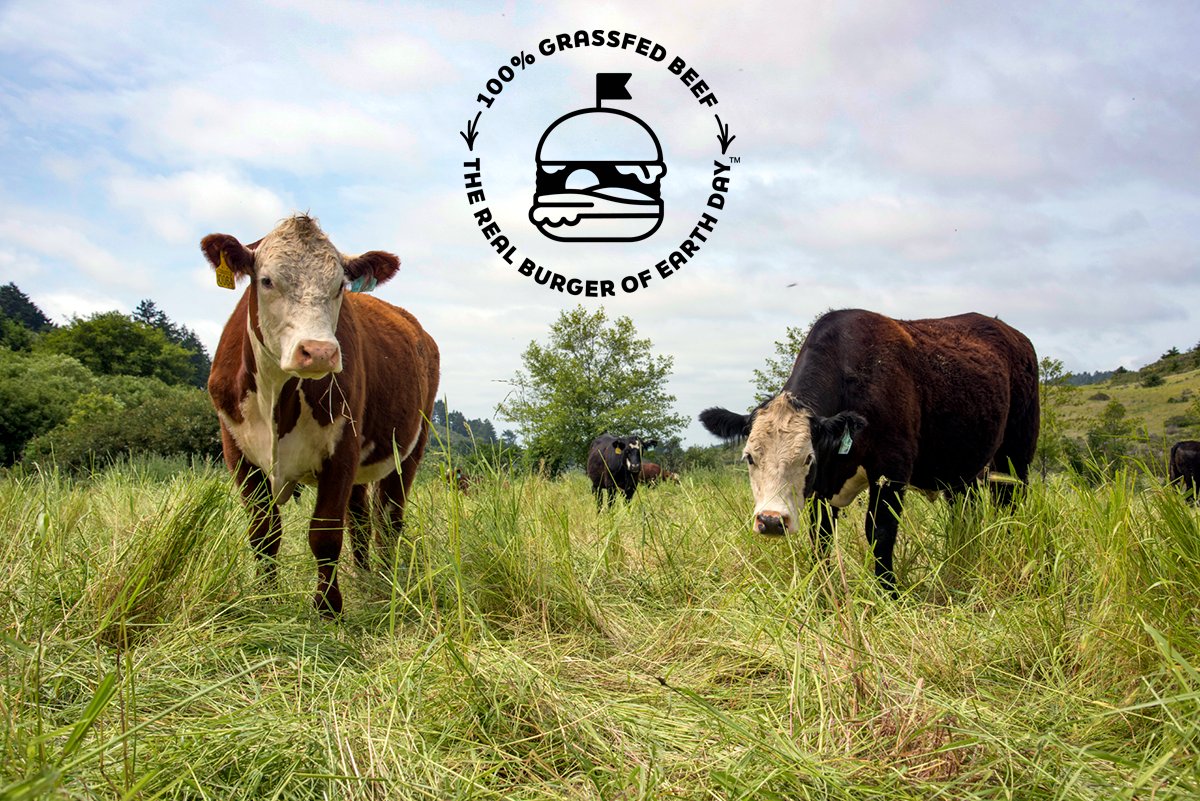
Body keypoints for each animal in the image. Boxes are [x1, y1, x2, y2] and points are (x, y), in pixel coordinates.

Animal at [203, 215, 439, 616]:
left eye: (339, 285)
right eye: (266, 280)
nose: (319, 351)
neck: (278, 399)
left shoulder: (342, 448)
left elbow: (325, 533)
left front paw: (328, 609)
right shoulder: (237, 451)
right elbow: (264, 533)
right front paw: (266, 598)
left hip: (409, 449)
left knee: (389, 520)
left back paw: (385, 582)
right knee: (360, 519)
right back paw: (364, 577)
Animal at [699, 309, 1039, 594]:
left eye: (807, 458)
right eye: (750, 457)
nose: (771, 521)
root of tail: (1012, 333)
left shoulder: (891, 471)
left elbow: (880, 533)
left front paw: (889, 594)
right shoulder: (822, 489)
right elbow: (820, 538)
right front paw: (822, 593)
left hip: (1015, 457)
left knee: (1011, 505)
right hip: (960, 472)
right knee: (964, 512)